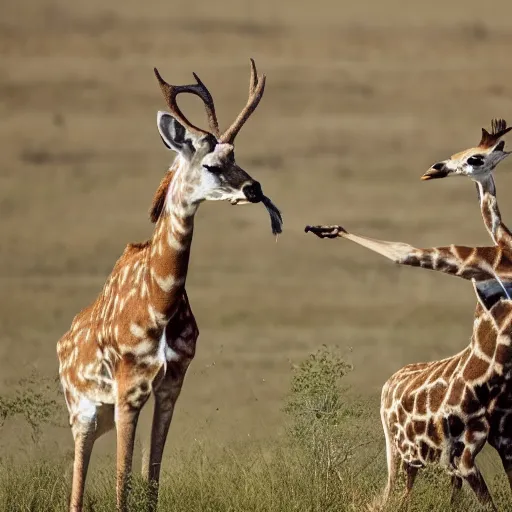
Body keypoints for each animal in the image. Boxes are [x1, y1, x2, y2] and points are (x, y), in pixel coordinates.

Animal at [57, 60, 282, 512]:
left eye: (236, 155)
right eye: (211, 164)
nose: (254, 189)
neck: (158, 302)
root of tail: (62, 344)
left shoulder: (170, 385)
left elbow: (151, 479)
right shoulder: (129, 389)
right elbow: (122, 484)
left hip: (102, 413)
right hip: (83, 412)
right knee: (77, 481)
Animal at [304, 121, 512, 508]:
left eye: (475, 157)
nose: (435, 168)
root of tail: (388, 386)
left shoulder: (501, 442)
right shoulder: (465, 454)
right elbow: (403, 251)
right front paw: (328, 229)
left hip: (421, 458)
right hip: (402, 454)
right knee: (391, 498)